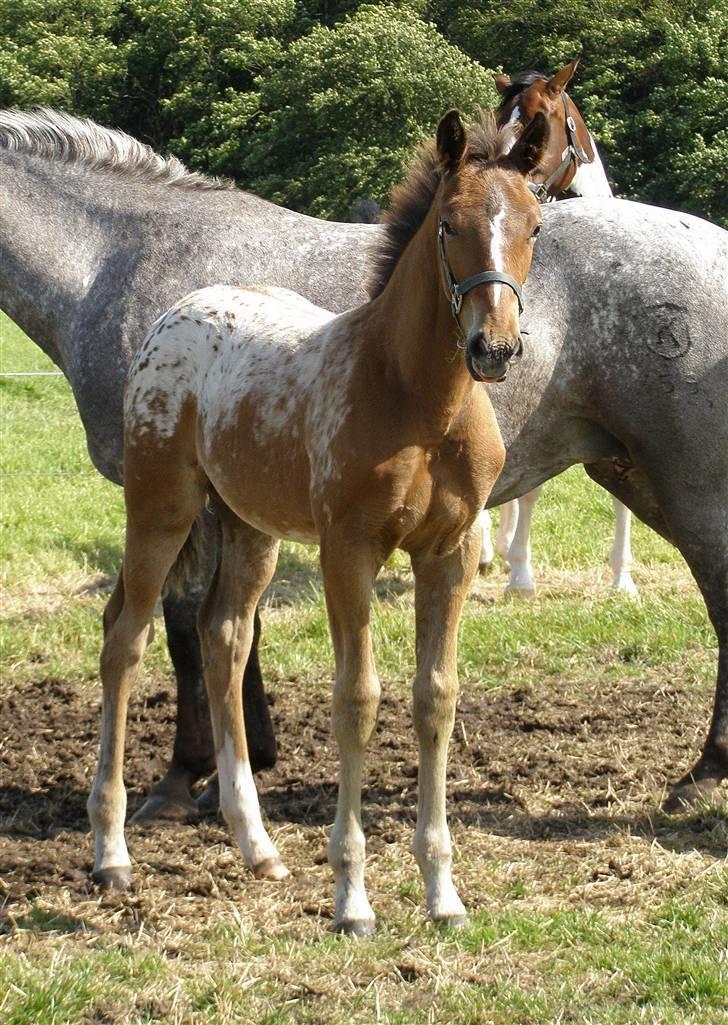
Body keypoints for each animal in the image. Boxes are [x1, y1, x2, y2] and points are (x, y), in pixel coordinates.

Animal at [0, 112, 725, 815]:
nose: (495, 347)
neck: (119, 257)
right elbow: (229, 627)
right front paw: (246, 759)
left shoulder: (188, 501)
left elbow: (185, 627)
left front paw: (186, 774)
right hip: (635, 476)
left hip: (690, 485)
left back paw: (705, 773)